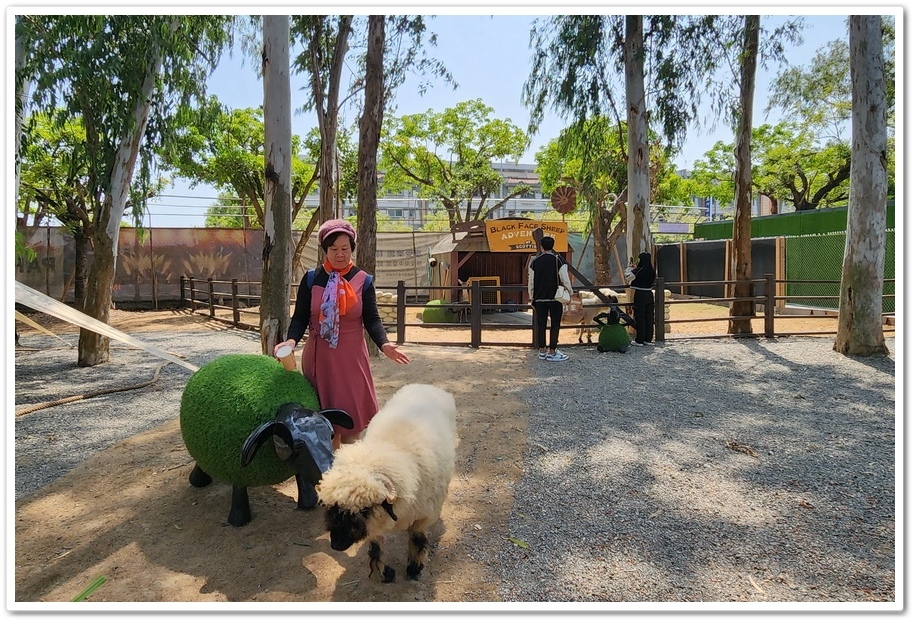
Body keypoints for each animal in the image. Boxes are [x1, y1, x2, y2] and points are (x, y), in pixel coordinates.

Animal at [316, 382, 456, 584]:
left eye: (365, 509)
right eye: (332, 507)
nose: (337, 544)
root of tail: (424, 385)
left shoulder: (421, 517)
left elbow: (417, 540)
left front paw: (414, 569)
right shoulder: (376, 524)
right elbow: (375, 548)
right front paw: (383, 573)